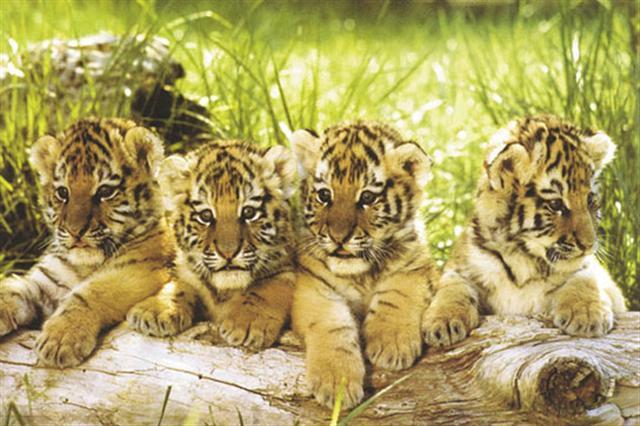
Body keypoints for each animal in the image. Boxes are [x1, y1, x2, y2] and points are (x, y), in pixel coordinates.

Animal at [0, 117, 173, 368]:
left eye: (105, 191)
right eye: (63, 192)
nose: (75, 231)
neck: (85, 264)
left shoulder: (140, 269)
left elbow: (91, 292)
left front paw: (61, 338)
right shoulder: (46, 283)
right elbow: (13, 288)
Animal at [126, 140, 296, 350]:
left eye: (248, 212)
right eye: (206, 215)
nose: (228, 253)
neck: (224, 291)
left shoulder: (288, 271)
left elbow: (266, 288)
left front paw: (246, 324)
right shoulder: (187, 273)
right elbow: (180, 285)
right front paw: (154, 310)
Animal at [291, 121, 440, 409]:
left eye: (368, 197)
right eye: (324, 195)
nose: (338, 237)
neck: (359, 274)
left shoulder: (417, 268)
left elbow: (397, 295)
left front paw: (391, 344)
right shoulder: (312, 285)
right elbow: (332, 323)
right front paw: (335, 382)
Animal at [422, 115, 627, 349]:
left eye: (590, 201)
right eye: (556, 204)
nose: (589, 245)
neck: (524, 260)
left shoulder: (597, 277)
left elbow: (586, 277)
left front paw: (586, 315)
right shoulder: (460, 267)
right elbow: (452, 287)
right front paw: (443, 322)